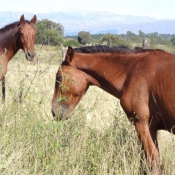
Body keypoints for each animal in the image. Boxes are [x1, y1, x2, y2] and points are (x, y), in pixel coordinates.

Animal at [52, 45, 175, 174]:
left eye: (59, 77)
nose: (54, 112)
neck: (131, 71)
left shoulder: (143, 125)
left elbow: (153, 163)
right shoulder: (152, 129)